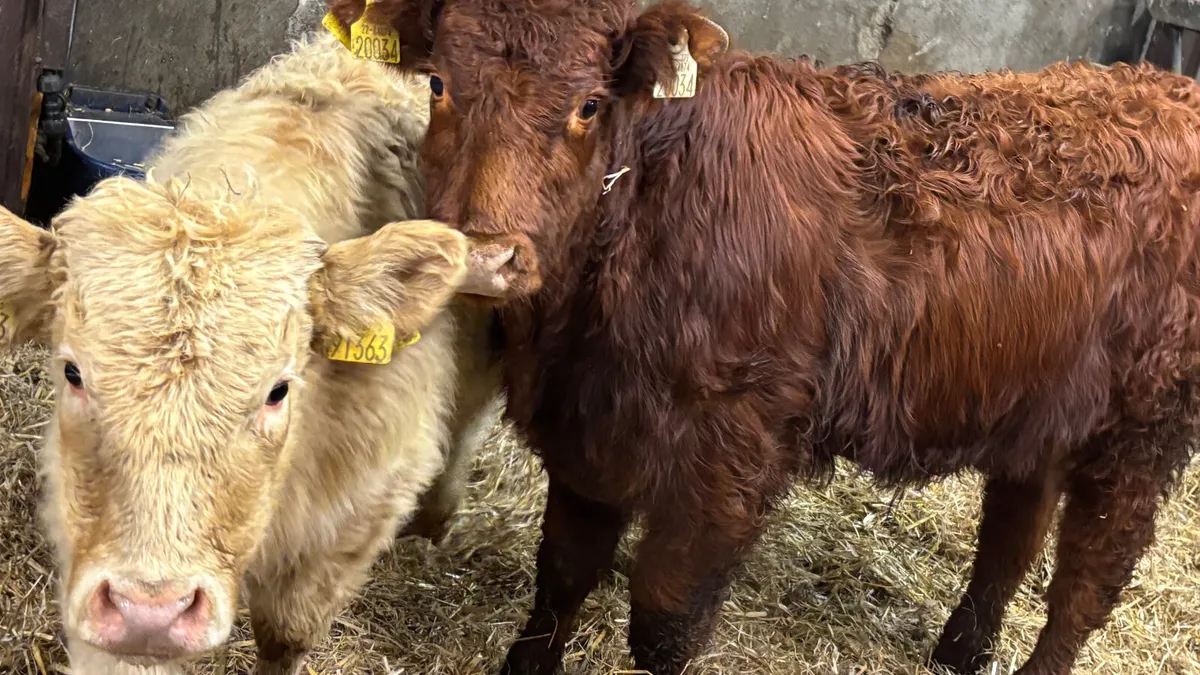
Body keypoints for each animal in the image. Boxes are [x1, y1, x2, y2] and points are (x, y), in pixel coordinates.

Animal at [324, 0, 1200, 673]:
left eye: (589, 104)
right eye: (439, 83)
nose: (488, 254)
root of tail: (1163, 86)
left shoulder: (728, 458)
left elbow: (664, 621)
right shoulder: (590, 429)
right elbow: (562, 574)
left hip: (1145, 427)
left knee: (1086, 580)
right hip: (1042, 405)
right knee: (1013, 534)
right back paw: (959, 652)